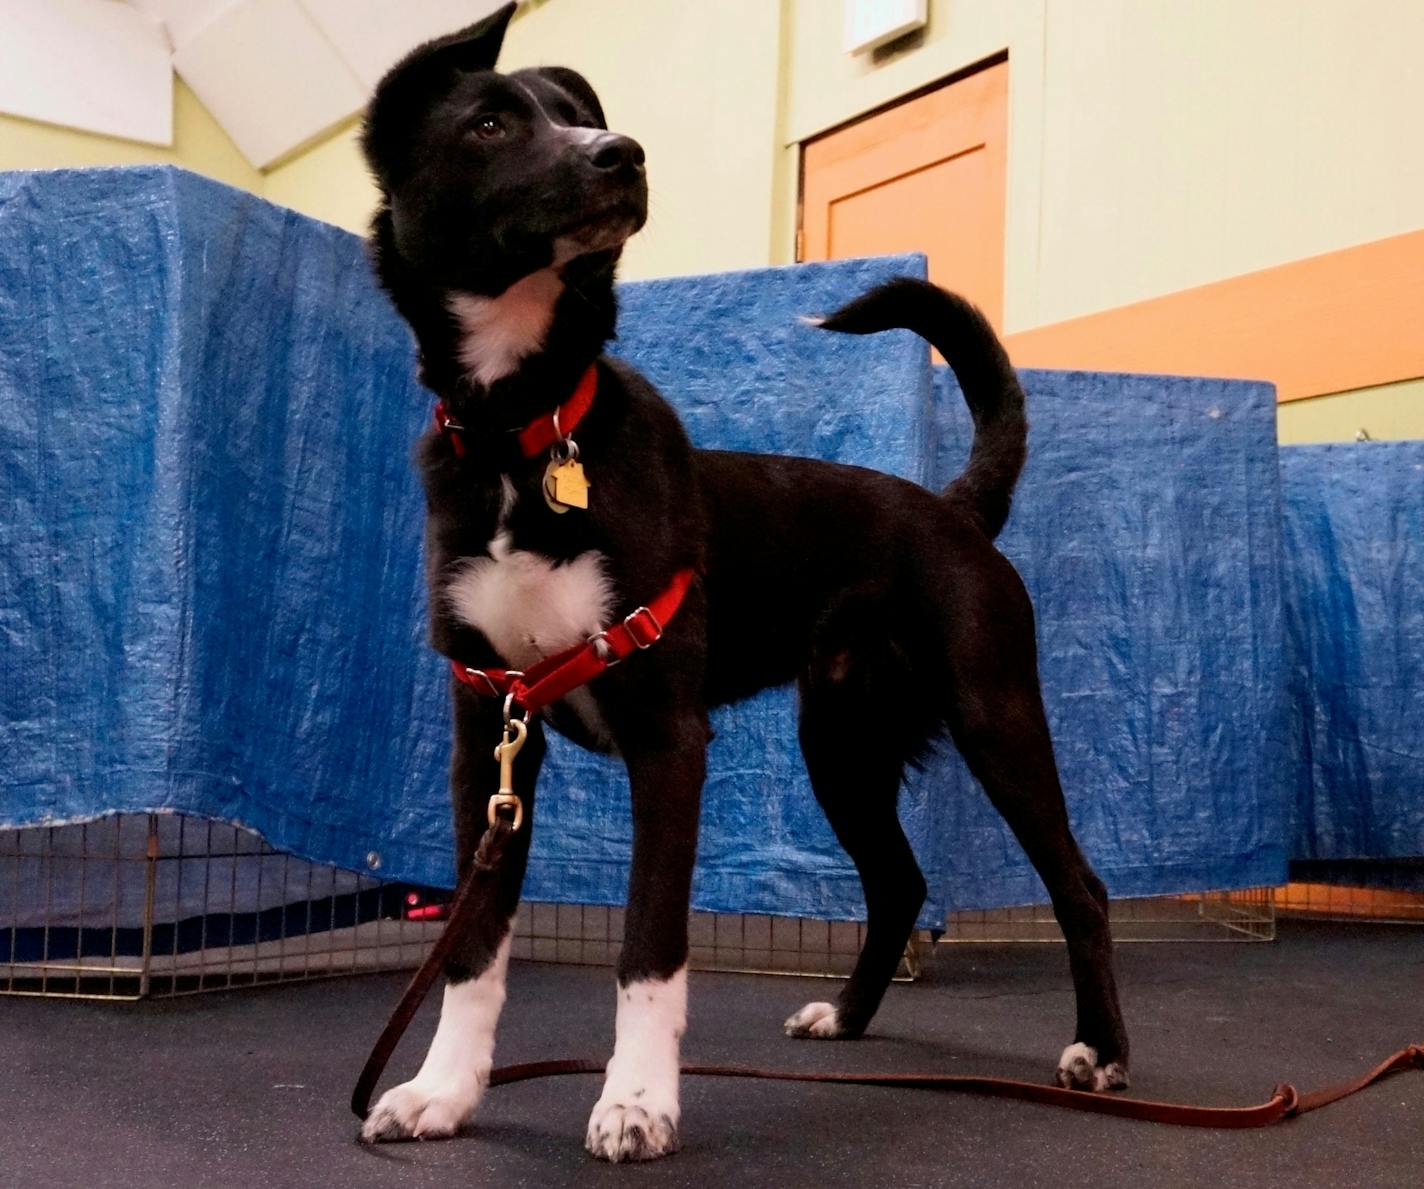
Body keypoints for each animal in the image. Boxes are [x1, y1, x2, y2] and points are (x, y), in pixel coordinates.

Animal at [361, 4, 1127, 1167]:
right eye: (489, 122)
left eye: (577, 112)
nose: (621, 154)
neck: (522, 435)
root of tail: (953, 505)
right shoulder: (489, 731)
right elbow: (474, 945)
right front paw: (443, 1089)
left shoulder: (668, 742)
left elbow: (646, 947)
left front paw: (636, 1103)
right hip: (841, 743)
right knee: (898, 880)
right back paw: (848, 1015)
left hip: (993, 717)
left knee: (1078, 883)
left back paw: (1101, 1052)